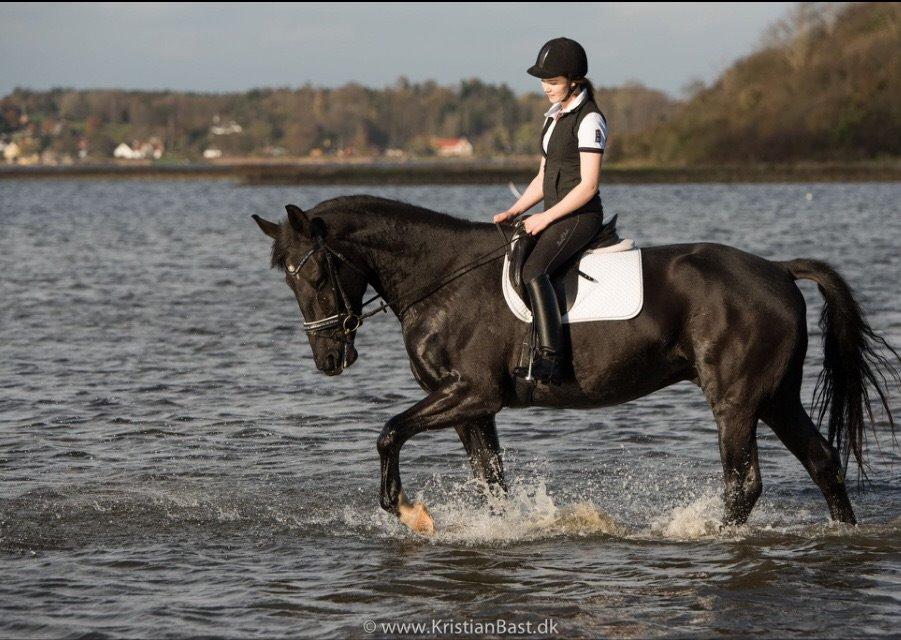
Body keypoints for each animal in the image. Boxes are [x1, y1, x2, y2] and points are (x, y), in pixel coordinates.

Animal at [251, 196, 892, 536]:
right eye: (287, 282)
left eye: (316, 273)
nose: (329, 359)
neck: (444, 280)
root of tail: (779, 271)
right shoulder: (469, 409)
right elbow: (491, 482)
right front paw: (502, 529)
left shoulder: (472, 394)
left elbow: (388, 433)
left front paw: (409, 513)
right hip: (776, 397)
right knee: (824, 463)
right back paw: (844, 531)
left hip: (735, 400)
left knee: (744, 484)